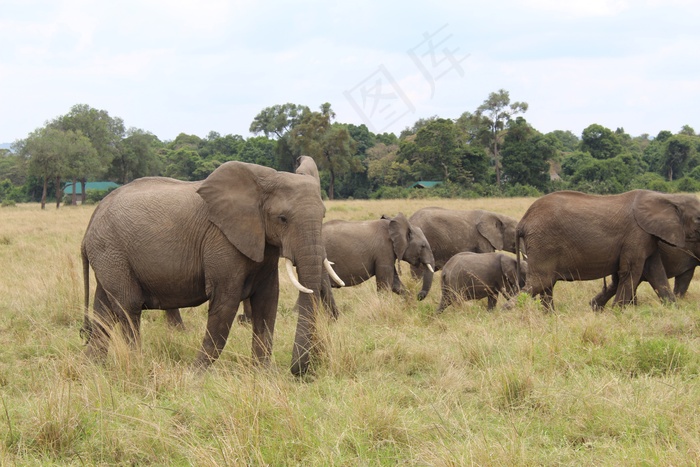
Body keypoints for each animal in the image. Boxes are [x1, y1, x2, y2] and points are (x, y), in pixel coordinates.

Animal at [82, 158, 340, 376]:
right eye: (282, 218)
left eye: (323, 215)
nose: (298, 372)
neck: (263, 180)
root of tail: (91, 221)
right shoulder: (221, 239)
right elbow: (225, 302)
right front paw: (195, 374)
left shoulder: (263, 243)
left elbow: (267, 302)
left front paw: (262, 374)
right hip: (111, 250)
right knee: (129, 306)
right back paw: (136, 364)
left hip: (109, 257)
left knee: (103, 310)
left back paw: (93, 366)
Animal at [516, 188, 700, 312]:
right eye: (699, 218)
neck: (668, 197)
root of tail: (523, 221)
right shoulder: (636, 235)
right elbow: (631, 272)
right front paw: (617, 312)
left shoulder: (647, 238)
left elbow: (656, 273)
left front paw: (675, 310)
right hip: (543, 243)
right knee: (540, 282)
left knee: (545, 285)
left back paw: (551, 316)